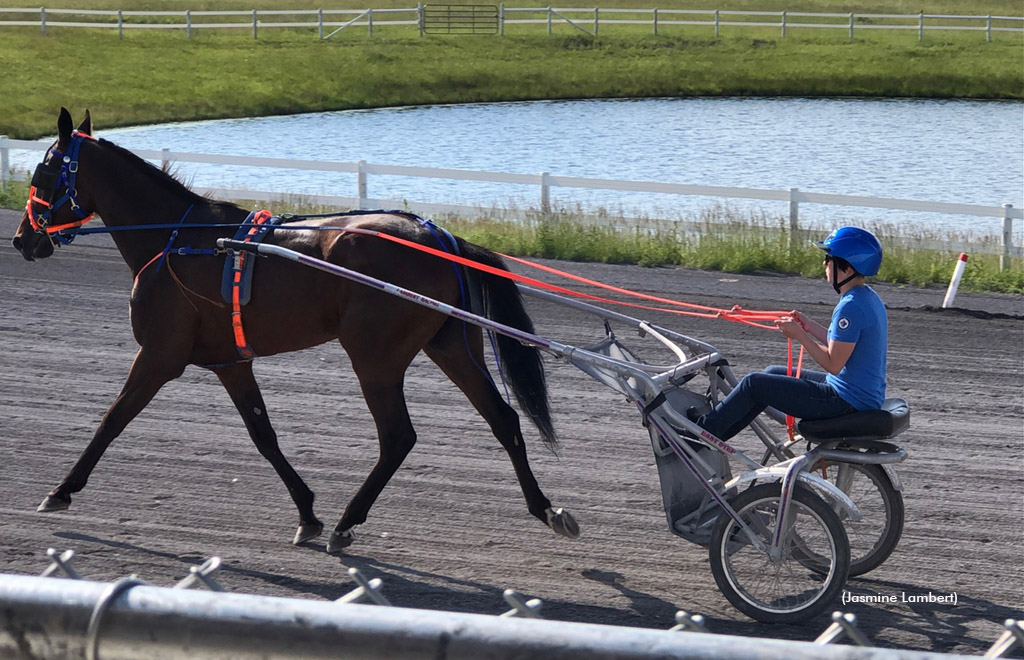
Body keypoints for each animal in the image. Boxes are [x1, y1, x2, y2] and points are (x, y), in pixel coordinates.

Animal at [12, 107, 581, 552]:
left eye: (43, 172)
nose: (21, 240)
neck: (177, 238)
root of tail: (441, 237)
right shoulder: (230, 361)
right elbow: (262, 434)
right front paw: (307, 513)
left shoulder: (159, 353)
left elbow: (113, 418)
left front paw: (60, 491)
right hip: (450, 345)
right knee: (502, 418)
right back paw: (546, 509)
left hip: (374, 356)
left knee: (399, 435)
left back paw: (350, 522)